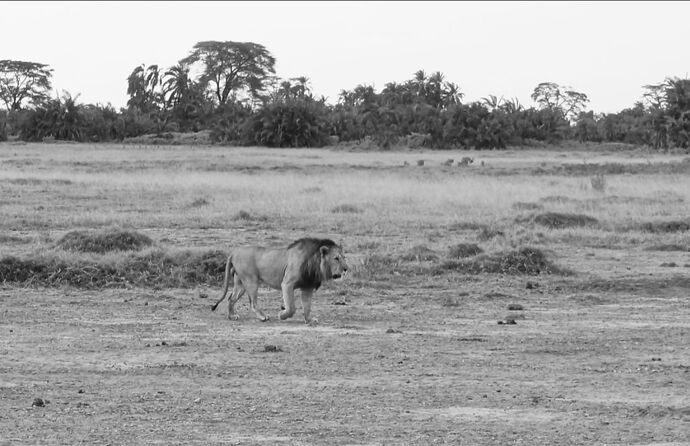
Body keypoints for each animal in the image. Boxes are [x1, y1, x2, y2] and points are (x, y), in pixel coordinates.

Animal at [210, 237, 350, 324]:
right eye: (336, 258)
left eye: (344, 257)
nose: (346, 269)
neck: (315, 262)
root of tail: (234, 252)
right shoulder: (287, 283)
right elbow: (292, 307)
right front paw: (282, 315)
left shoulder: (308, 286)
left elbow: (307, 306)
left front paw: (309, 320)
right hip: (251, 281)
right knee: (253, 303)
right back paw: (263, 316)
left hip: (241, 283)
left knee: (231, 299)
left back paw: (231, 316)